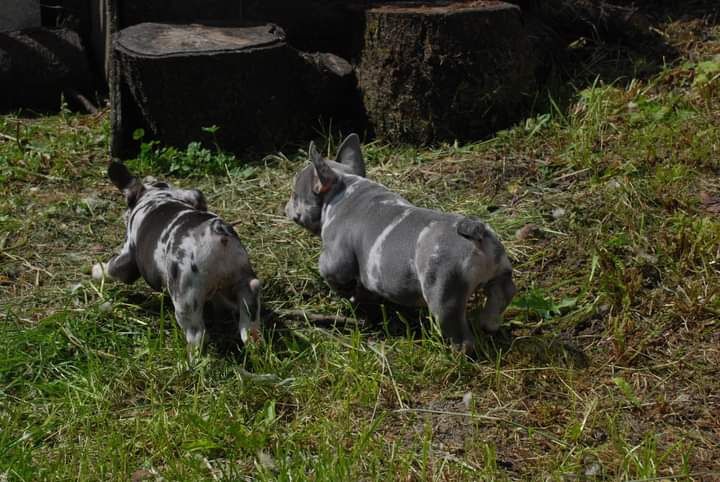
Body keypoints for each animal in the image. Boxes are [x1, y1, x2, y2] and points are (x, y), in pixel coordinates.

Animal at [95, 163, 262, 354]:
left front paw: (95, 270)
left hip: (186, 300)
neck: (157, 198)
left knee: (197, 335)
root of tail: (219, 236)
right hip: (242, 278)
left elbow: (111, 268)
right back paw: (252, 341)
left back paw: (190, 356)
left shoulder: (127, 255)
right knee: (249, 307)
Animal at [284, 134, 516, 352]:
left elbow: (339, 282)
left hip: (444, 297)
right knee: (502, 294)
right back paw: (488, 323)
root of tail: (474, 231)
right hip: (500, 270)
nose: (285, 207)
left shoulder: (334, 263)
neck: (344, 188)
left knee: (460, 335)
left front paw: (349, 299)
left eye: (294, 195)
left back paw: (456, 353)